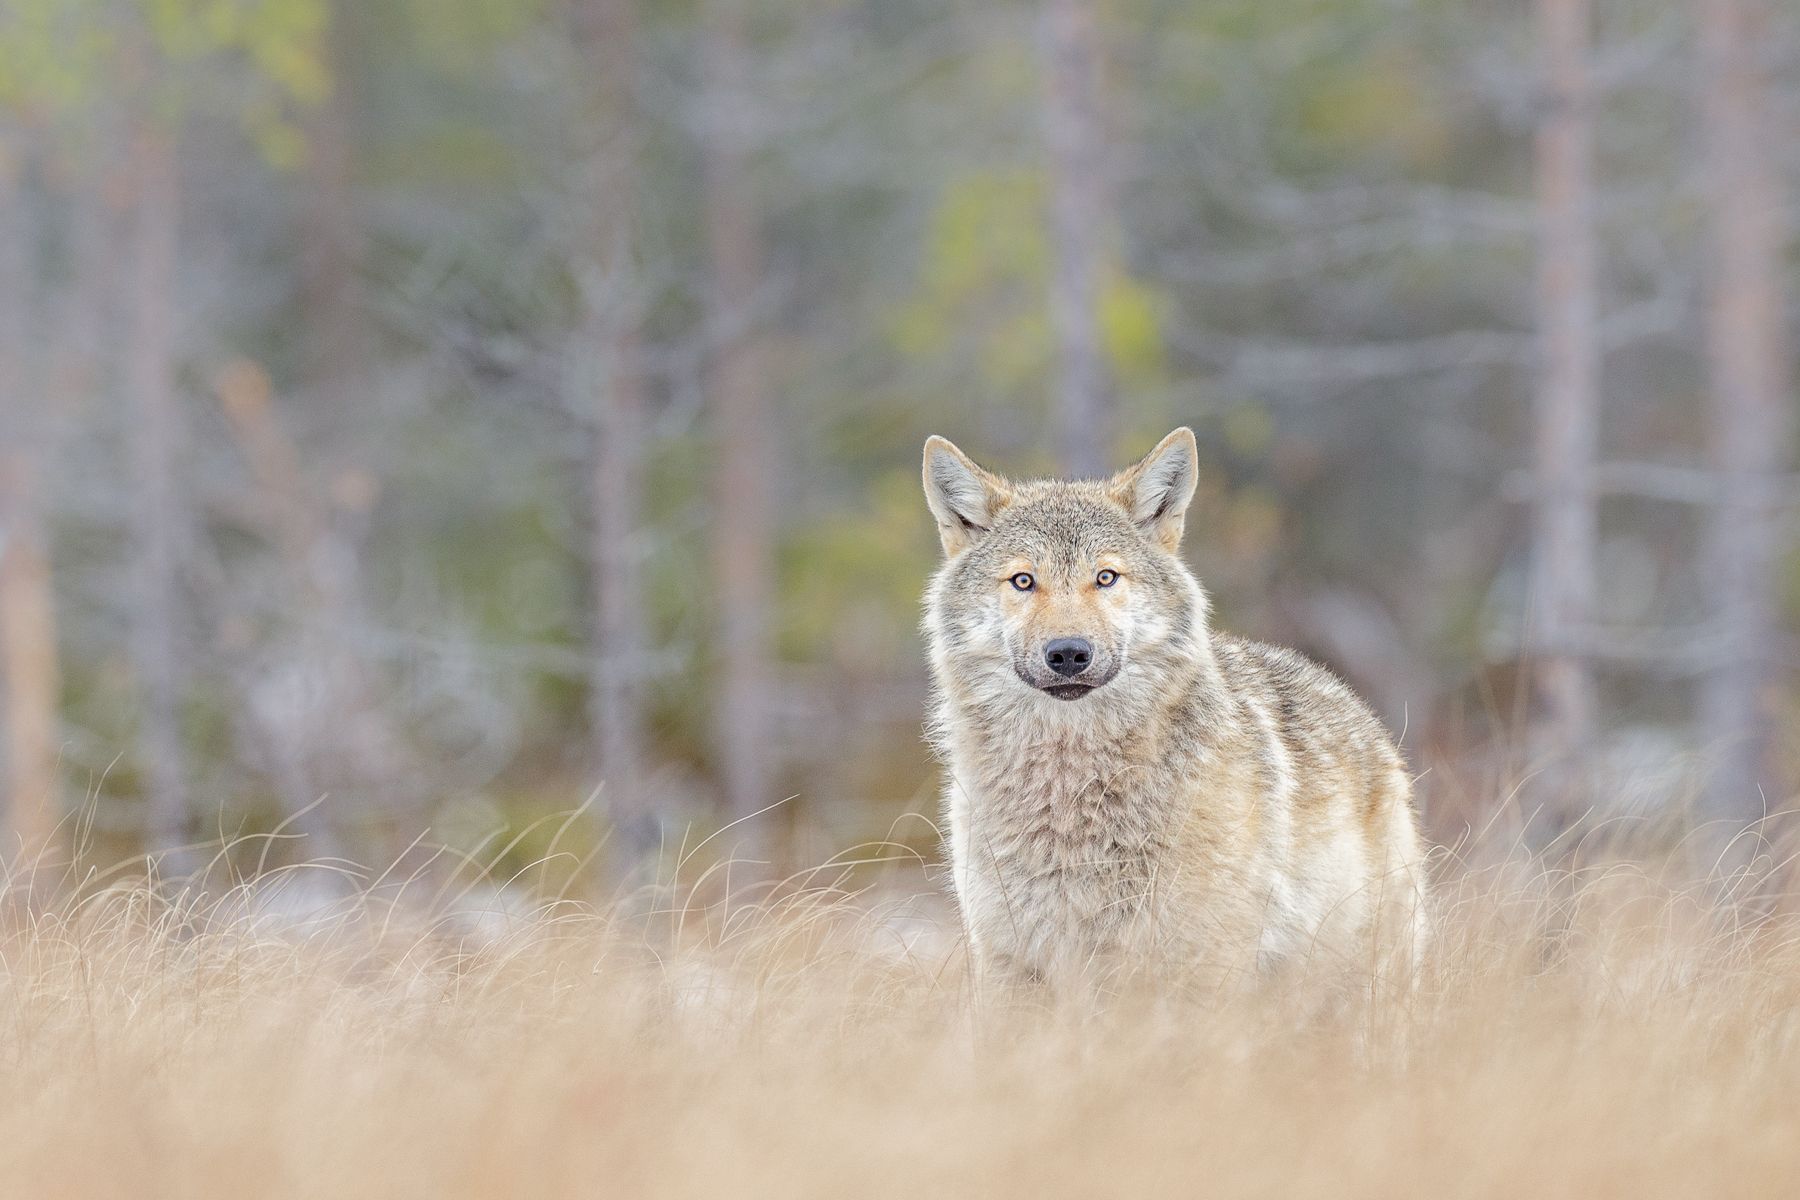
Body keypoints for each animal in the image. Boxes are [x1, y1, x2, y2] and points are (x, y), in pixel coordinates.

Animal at [922, 428, 1429, 999]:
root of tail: (1361, 712)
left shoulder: (1202, 964)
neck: (1070, 796)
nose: (1069, 653)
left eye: (1106, 577)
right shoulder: (1010, 962)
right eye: (1024, 581)